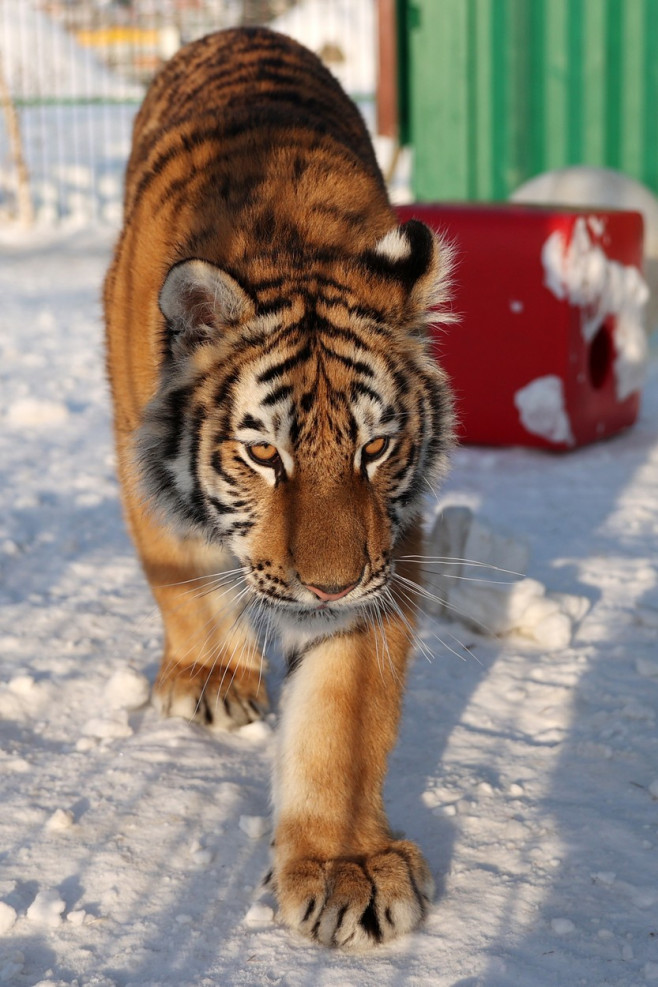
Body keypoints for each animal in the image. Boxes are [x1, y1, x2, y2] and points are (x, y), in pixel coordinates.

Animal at [105, 23, 454, 948]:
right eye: (265, 455)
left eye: (376, 447)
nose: (327, 586)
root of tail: (243, 27)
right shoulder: (141, 458)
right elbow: (185, 581)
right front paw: (212, 684)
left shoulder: (388, 550)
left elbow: (344, 712)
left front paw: (345, 867)